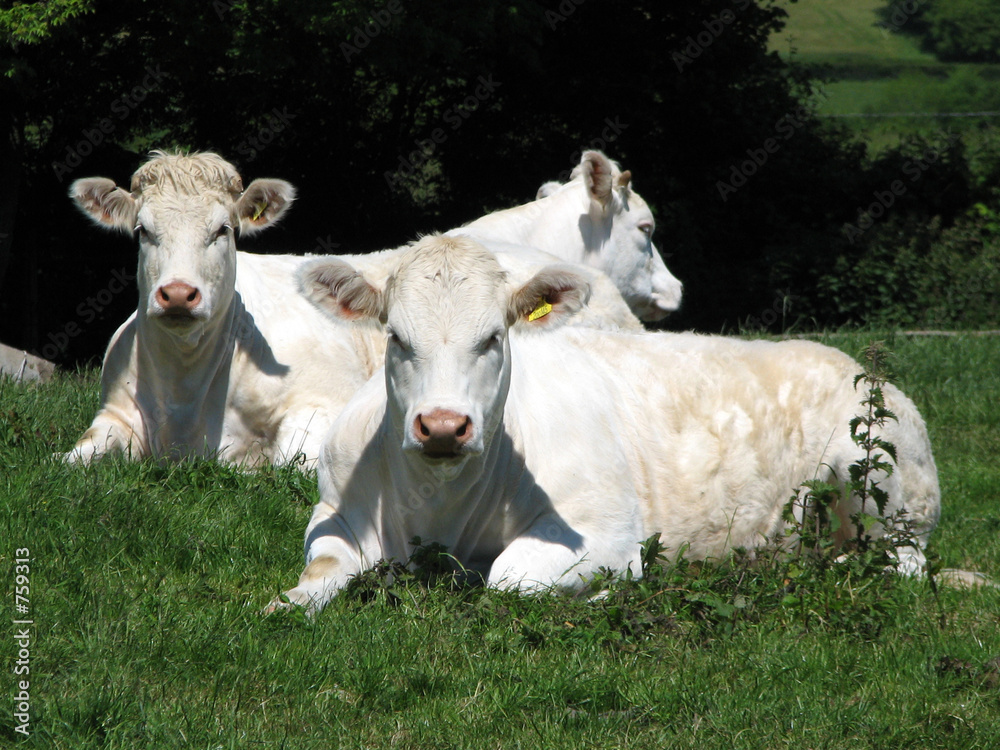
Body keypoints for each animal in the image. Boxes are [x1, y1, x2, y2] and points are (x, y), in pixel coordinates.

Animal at [271, 235, 941, 613]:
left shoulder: (606, 531)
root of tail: (857, 367)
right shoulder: (334, 509)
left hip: (883, 482)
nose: (441, 426)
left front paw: (609, 591)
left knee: (898, 561)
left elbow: (509, 580)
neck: (435, 512)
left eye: (493, 337)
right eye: (396, 337)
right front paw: (285, 604)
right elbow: (318, 572)